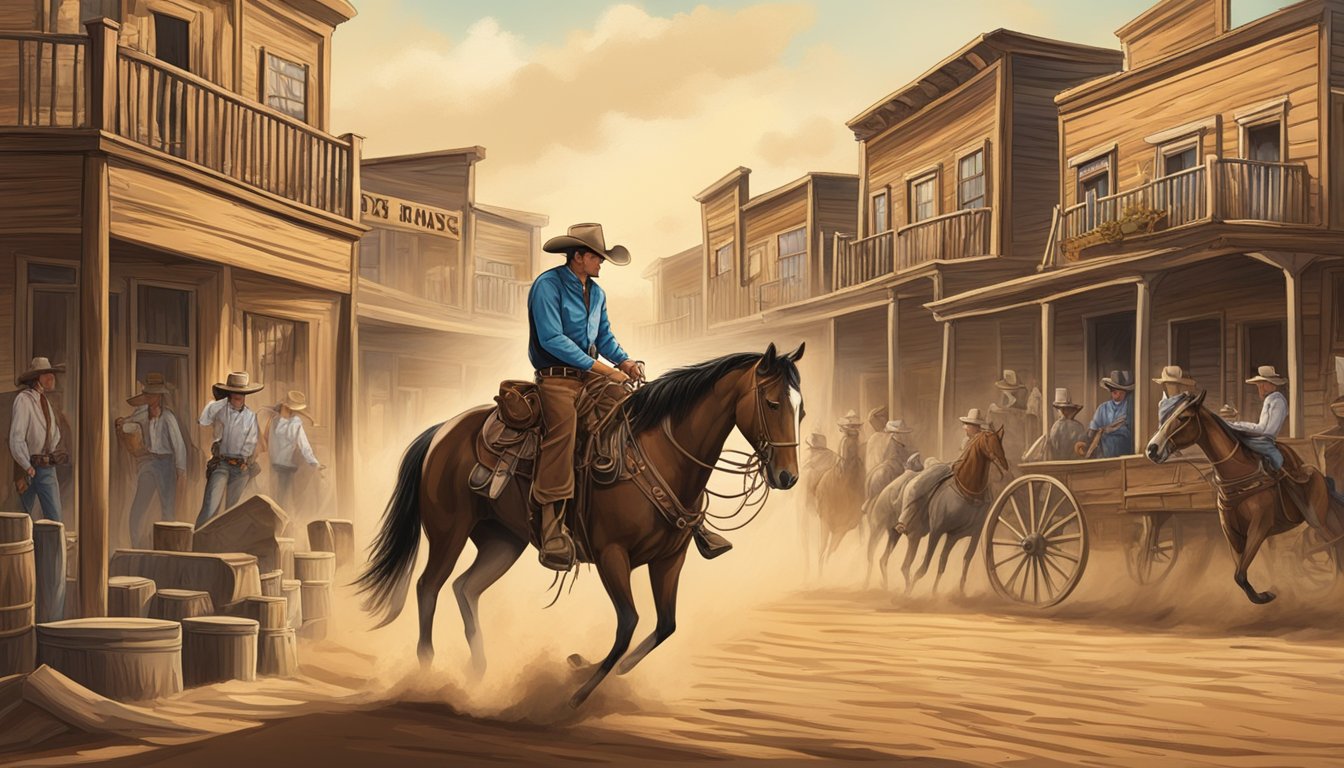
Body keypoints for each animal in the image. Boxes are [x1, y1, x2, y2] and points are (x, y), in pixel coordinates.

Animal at [354, 344, 806, 704]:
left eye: (800, 408)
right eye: (772, 404)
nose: (787, 477)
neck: (660, 456)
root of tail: (441, 431)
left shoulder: (669, 560)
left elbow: (665, 626)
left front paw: (591, 668)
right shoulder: (611, 556)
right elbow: (628, 624)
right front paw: (577, 690)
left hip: (503, 541)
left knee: (466, 588)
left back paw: (478, 670)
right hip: (449, 531)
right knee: (428, 586)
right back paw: (426, 672)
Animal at [892, 430, 1010, 597]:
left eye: (1000, 441)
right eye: (989, 442)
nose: (1004, 463)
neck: (968, 491)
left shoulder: (964, 534)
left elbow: (958, 561)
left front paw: (948, 593)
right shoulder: (937, 531)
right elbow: (925, 566)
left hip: (918, 535)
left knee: (906, 565)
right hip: (915, 533)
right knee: (906, 565)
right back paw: (907, 591)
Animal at [1145, 392, 1344, 605]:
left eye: (1183, 417)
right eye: (1167, 417)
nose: (1151, 449)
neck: (1239, 475)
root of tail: (1321, 477)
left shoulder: (1259, 527)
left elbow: (1239, 574)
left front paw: (1264, 596)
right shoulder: (1232, 533)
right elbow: (1239, 572)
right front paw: (1265, 593)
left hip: (1319, 521)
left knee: (1333, 545)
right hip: (1326, 521)